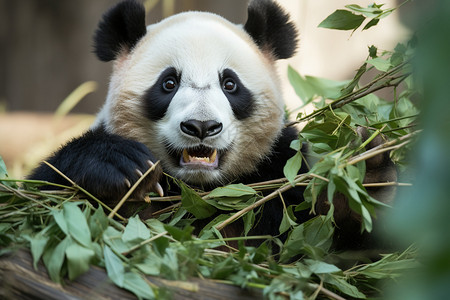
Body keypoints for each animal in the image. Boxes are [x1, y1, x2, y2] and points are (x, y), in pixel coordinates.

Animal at [29, 0, 396, 248]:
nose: (201, 127)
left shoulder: (281, 170)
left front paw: (364, 175)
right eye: (169, 83)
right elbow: (39, 197)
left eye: (230, 84)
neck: (204, 191)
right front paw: (123, 167)